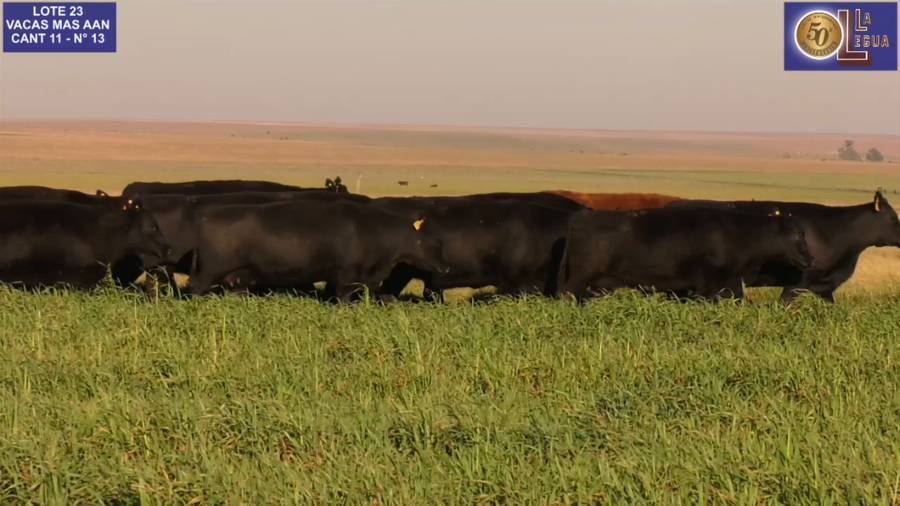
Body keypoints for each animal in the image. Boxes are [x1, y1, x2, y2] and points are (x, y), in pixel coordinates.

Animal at [183, 200, 449, 302]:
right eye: (428, 241)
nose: (445, 268)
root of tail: (206, 217)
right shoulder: (346, 276)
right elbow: (342, 297)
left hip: (236, 280)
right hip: (208, 274)